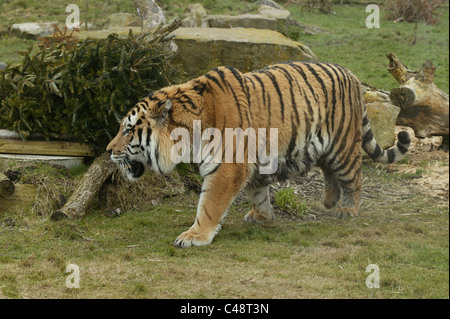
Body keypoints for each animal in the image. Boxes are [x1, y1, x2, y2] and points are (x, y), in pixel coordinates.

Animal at [106, 61, 412, 249]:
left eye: (128, 130)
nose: (109, 151)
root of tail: (352, 76)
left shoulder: (228, 166)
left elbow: (209, 205)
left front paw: (195, 236)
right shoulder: (251, 162)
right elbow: (258, 191)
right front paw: (263, 216)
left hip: (342, 146)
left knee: (355, 177)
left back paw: (348, 208)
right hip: (324, 145)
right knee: (328, 170)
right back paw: (329, 199)